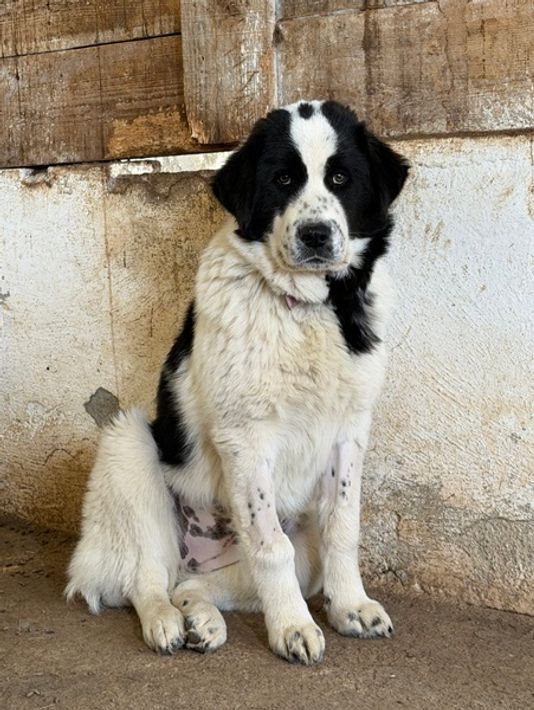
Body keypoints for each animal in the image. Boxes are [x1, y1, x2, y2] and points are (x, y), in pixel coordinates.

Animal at [66, 100, 408, 665]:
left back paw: (203, 621)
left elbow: (343, 525)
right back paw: (166, 623)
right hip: (129, 442)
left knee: (189, 585)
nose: (316, 235)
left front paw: (349, 607)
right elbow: (271, 545)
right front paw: (292, 627)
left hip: (279, 552)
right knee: (148, 578)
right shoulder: (245, 437)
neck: (307, 308)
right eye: (283, 179)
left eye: (341, 178)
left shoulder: (350, 431)